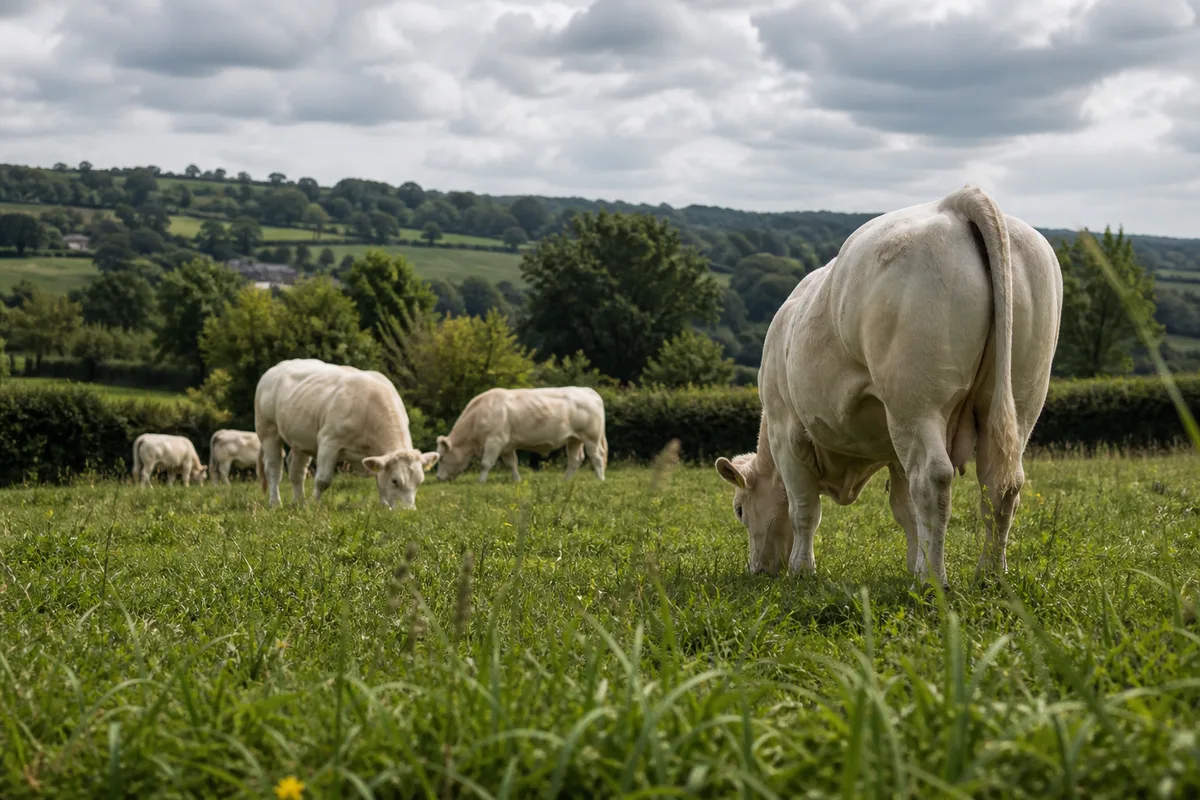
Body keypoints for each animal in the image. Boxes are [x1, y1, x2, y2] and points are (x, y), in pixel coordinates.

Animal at [254, 358, 439, 509]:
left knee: (296, 470)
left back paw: (299, 502)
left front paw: (384, 505)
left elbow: (379, 479)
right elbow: (323, 480)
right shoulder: (329, 442)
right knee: (274, 468)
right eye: (395, 481)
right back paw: (276, 502)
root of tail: (276, 368)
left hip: (301, 439)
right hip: (268, 430)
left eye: (419, 481)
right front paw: (314, 505)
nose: (407, 511)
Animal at [435, 386, 607, 483]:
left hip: (591, 438)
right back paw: (565, 481)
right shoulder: (506, 445)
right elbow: (512, 463)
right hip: (574, 439)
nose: (438, 477)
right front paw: (517, 480)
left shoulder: (494, 441)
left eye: (442, 458)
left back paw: (600, 479)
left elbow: (485, 463)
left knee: (597, 457)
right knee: (575, 460)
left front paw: (480, 482)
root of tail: (588, 390)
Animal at [714, 185, 1062, 589]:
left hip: (916, 402)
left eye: (740, 510)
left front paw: (803, 570)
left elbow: (804, 509)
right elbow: (905, 509)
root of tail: (956, 200)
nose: (759, 569)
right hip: (1018, 401)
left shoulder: (788, 431)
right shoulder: (893, 450)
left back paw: (932, 580)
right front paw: (912, 562)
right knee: (1000, 484)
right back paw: (989, 577)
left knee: (933, 478)